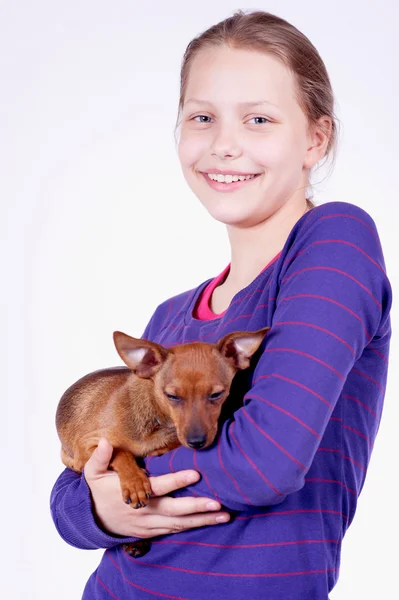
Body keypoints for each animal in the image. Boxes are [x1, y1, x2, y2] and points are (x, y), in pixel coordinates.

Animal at [55, 326, 268, 556]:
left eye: (217, 394)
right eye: (171, 396)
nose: (196, 442)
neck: (159, 421)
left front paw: (162, 448)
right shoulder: (88, 446)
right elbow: (120, 452)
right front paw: (135, 482)